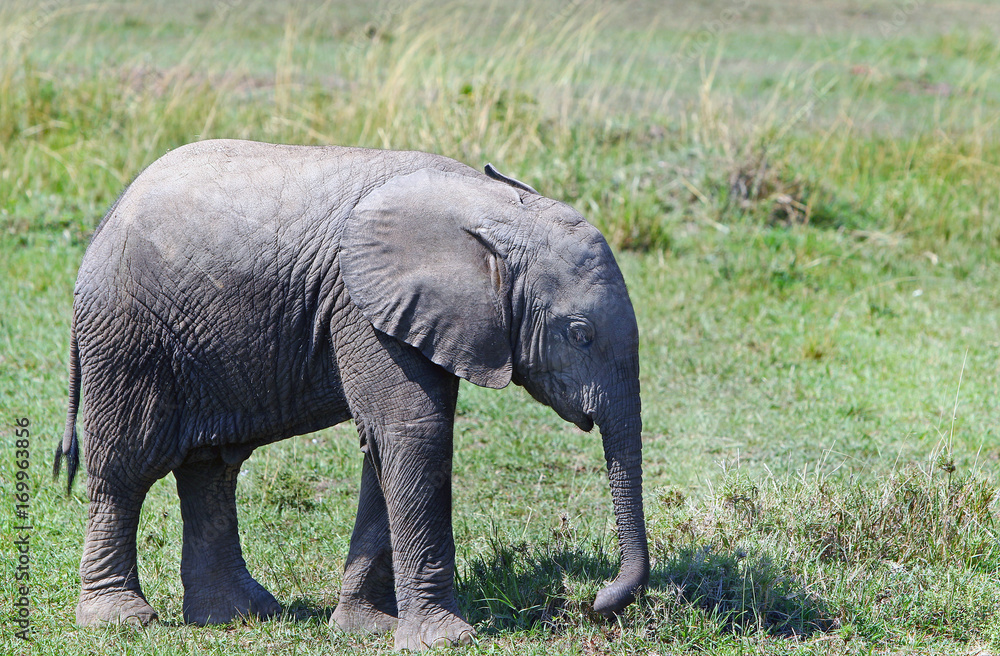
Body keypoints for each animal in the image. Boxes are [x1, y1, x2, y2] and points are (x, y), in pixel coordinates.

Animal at [53, 139, 649, 650]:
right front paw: (445, 640)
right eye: (579, 334)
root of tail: (107, 218)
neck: (489, 206)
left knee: (210, 467)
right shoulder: (363, 305)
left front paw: (367, 628)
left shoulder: (416, 315)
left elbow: (387, 445)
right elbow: (416, 434)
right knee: (125, 467)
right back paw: (121, 620)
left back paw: (240, 615)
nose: (596, 602)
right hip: (128, 336)